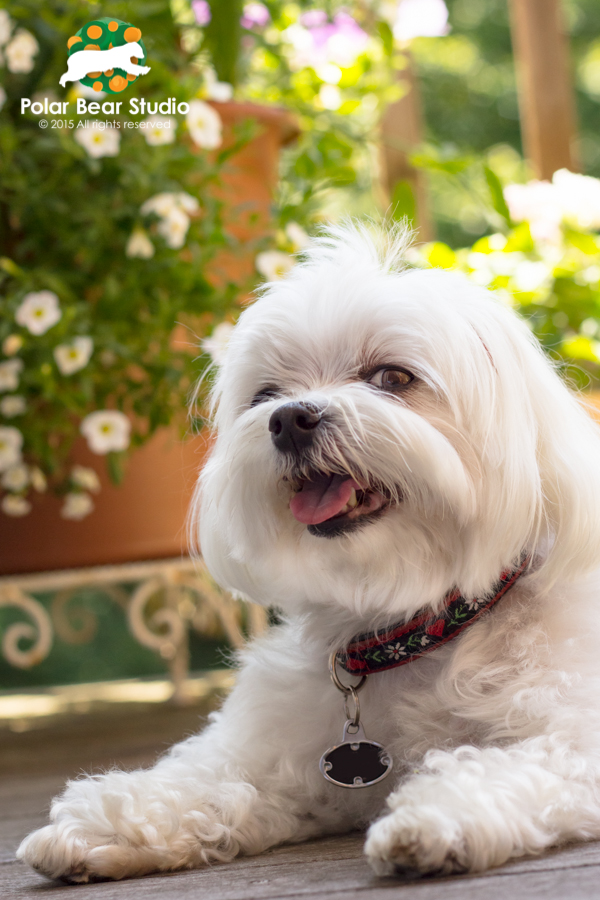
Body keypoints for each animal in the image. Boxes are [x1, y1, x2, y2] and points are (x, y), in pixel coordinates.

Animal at [16, 221, 600, 884]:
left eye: (392, 378)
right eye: (267, 394)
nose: (290, 419)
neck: (412, 628)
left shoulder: (573, 732)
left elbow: (511, 765)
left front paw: (432, 820)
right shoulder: (283, 753)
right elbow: (208, 778)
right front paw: (107, 820)